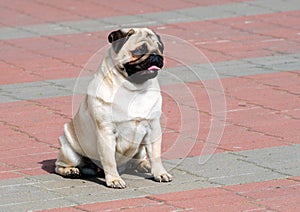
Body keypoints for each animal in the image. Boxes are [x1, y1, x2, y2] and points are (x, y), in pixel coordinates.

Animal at [55, 27, 172, 189]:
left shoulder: (153, 128)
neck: (134, 89)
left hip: (140, 149)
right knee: (59, 165)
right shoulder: (107, 132)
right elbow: (109, 160)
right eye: (139, 50)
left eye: (160, 48)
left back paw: (144, 165)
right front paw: (114, 179)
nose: (156, 55)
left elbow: (155, 155)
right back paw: (70, 171)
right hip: (69, 151)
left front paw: (160, 173)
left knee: (138, 160)